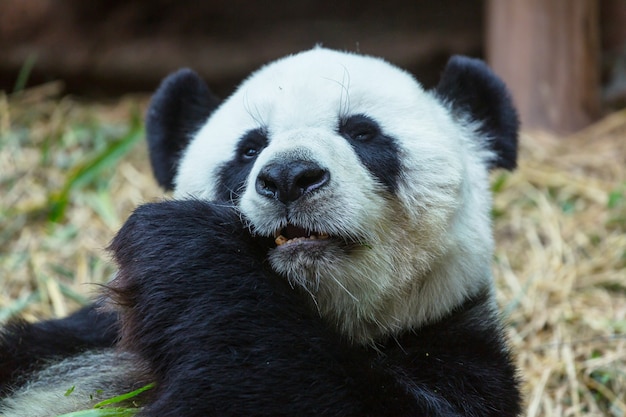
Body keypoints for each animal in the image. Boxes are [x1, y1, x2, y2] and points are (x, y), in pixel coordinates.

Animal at [0, 47, 516, 414]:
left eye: (362, 132)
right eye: (249, 149)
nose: (289, 176)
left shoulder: (458, 358)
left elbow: (289, 386)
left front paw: (183, 245)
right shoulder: (84, 337)